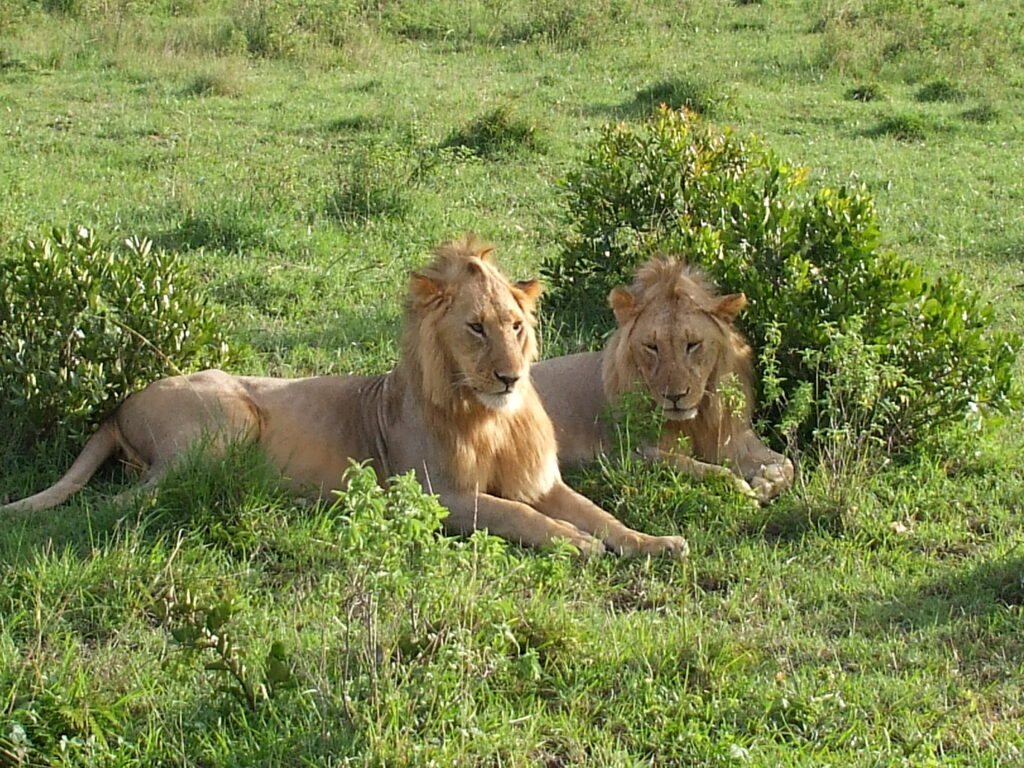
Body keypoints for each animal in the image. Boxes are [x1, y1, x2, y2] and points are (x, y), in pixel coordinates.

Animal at [4, 237, 688, 557]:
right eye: (476, 328)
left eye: (516, 326)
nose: (511, 377)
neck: (488, 419)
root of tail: (118, 405)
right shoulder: (432, 496)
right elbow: (517, 516)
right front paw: (576, 543)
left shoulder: (540, 480)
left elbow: (602, 514)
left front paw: (656, 543)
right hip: (226, 421)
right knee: (123, 501)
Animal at [532, 256, 794, 501]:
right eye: (652, 347)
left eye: (692, 344)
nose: (675, 397)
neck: (695, 420)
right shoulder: (628, 452)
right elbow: (702, 468)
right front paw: (742, 488)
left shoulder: (732, 438)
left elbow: (788, 463)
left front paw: (765, 481)